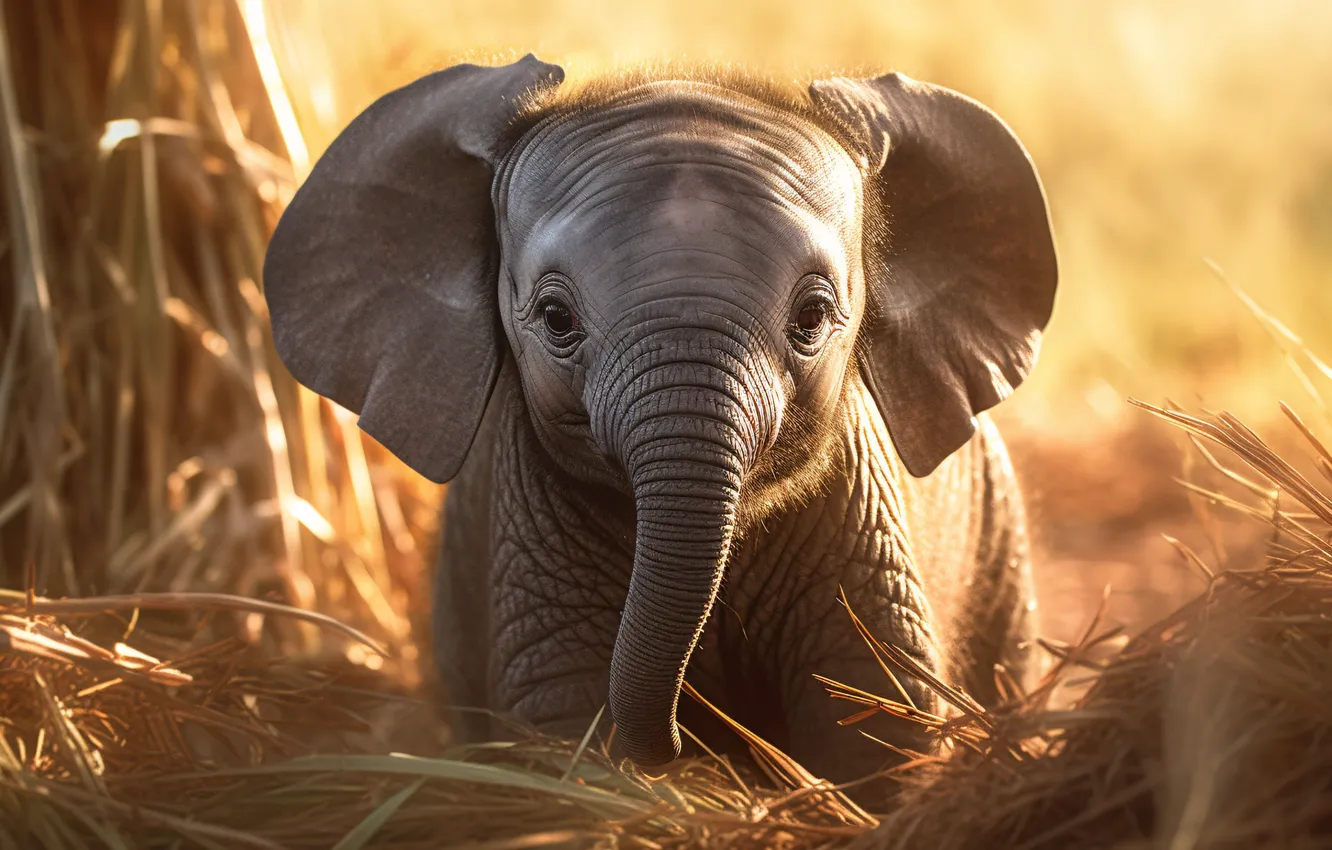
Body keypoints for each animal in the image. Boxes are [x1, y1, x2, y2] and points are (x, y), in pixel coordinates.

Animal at [262, 54, 1058, 791]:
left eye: (812, 316)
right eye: (556, 318)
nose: (686, 739)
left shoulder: (862, 515)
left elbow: (878, 723)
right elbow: (566, 716)